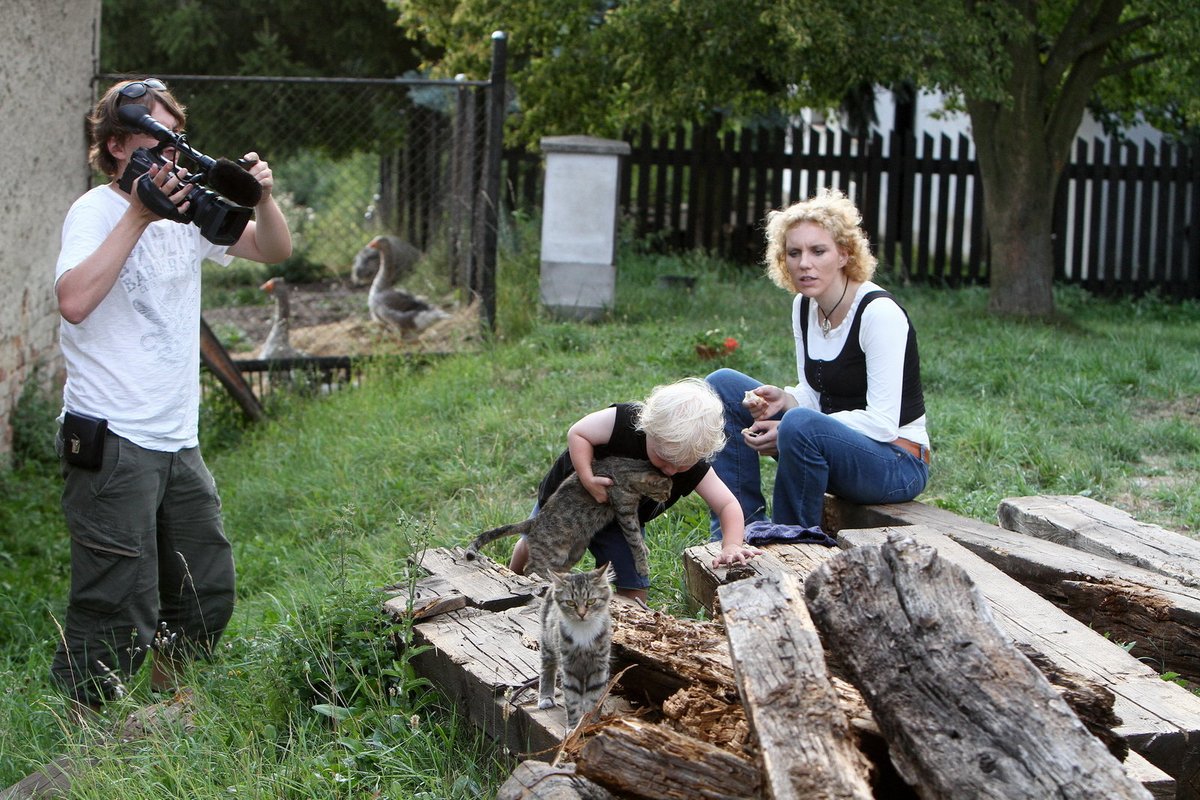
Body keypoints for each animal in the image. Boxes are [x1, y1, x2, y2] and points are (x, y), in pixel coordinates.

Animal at [506, 379, 758, 604]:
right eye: (665, 490)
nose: (668, 497)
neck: (628, 471)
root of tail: (534, 522)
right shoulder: (625, 511)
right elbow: (634, 538)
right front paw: (642, 562)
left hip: (573, 552)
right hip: (554, 551)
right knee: (532, 567)